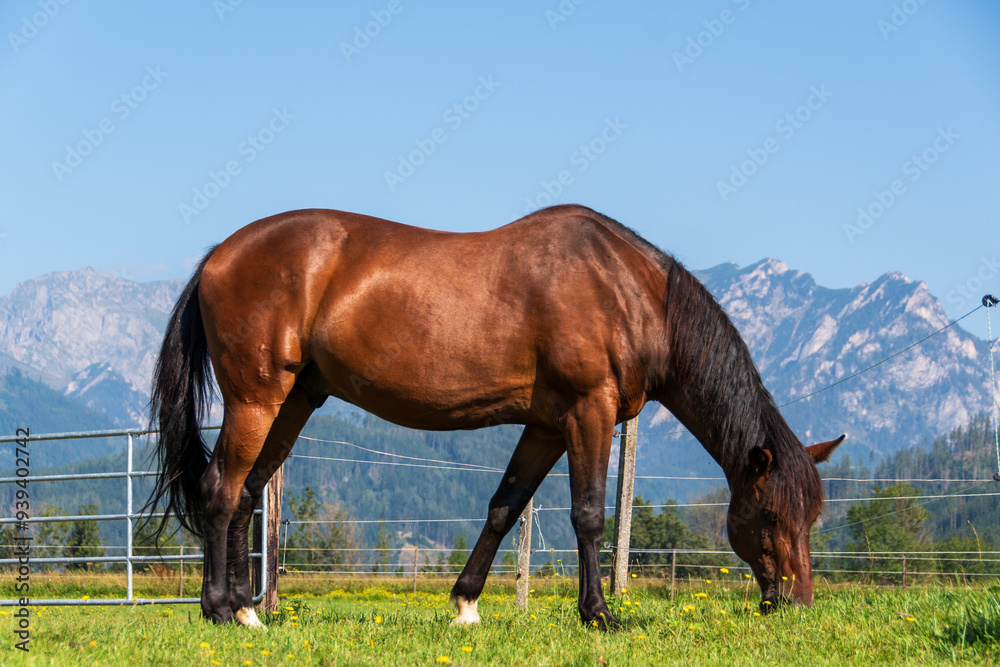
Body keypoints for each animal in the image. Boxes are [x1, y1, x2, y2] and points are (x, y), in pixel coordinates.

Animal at [147, 204, 843, 629]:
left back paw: (247, 611)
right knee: (219, 490)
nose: (798, 604)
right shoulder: (590, 413)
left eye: (812, 517)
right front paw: (598, 615)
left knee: (245, 495)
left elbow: (504, 508)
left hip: (291, 403)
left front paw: (465, 603)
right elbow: (589, 515)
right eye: (770, 515)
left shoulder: (547, 425)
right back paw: (217, 609)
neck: (626, 289)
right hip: (256, 401)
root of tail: (219, 255)